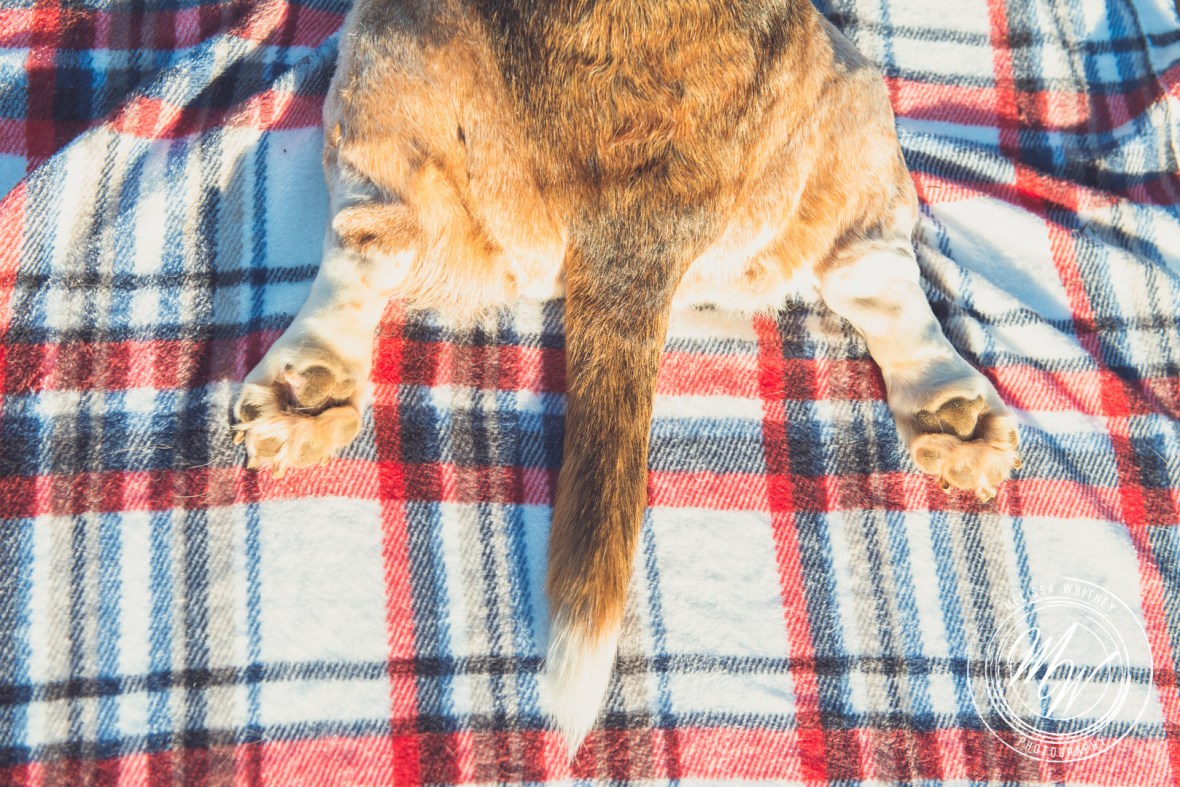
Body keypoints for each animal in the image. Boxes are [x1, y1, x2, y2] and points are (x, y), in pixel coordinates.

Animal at [233, 0, 1022, 751]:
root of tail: (638, 212)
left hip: (384, 54)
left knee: (370, 244)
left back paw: (310, 387)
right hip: (854, 94)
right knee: (875, 271)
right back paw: (951, 411)